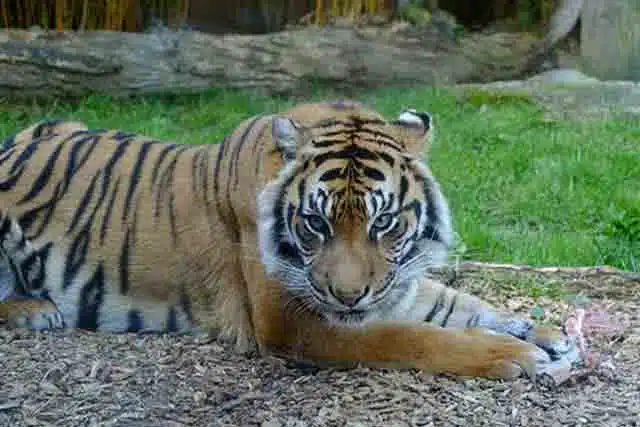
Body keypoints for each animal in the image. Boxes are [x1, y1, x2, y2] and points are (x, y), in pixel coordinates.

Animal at [0, 102, 580, 380]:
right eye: (315, 224)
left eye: (384, 224)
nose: (348, 297)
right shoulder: (291, 321)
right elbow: (410, 336)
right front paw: (515, 355)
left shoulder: (397, 282)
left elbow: (462, 305)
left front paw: (546, 333)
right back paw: (35, 311)